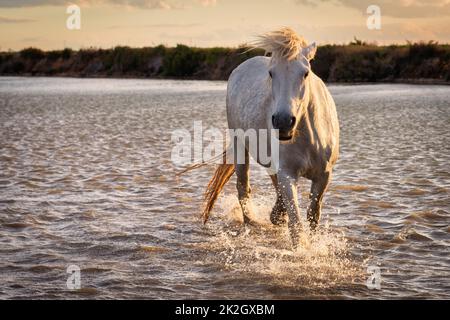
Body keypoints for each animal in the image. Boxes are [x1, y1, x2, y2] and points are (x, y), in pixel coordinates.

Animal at [200, 28, 338, 248]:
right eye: (272, 73)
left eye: (305, 73)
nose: (283, 121)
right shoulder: (287, 173)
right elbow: (296, 224)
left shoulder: (323, 175)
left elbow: (313, 214)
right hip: (240, 148)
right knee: (243, 189)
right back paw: (253, 222)